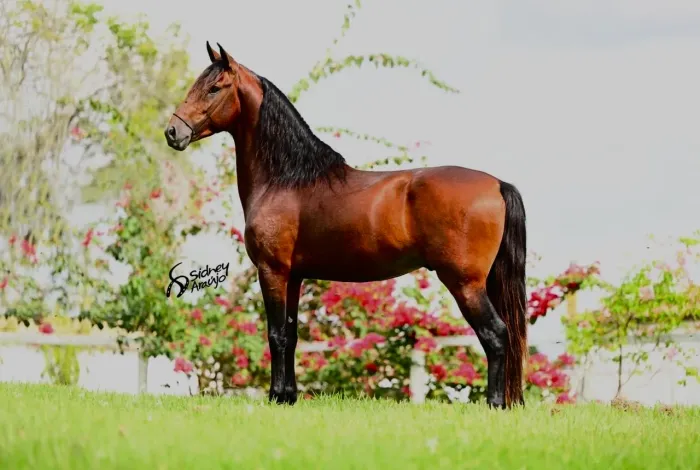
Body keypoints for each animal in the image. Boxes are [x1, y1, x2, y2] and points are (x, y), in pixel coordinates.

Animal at [165, 42, 528, 409]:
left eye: (215, 88)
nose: (173, 132)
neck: (286, 180)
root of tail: (497, 184)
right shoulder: (293, 276)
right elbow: (291, 335)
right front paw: (289, 396)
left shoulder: (272, 271)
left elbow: (276, 334)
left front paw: (276, 397)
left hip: (465, 283)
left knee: (496, 334)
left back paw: (495, 403)